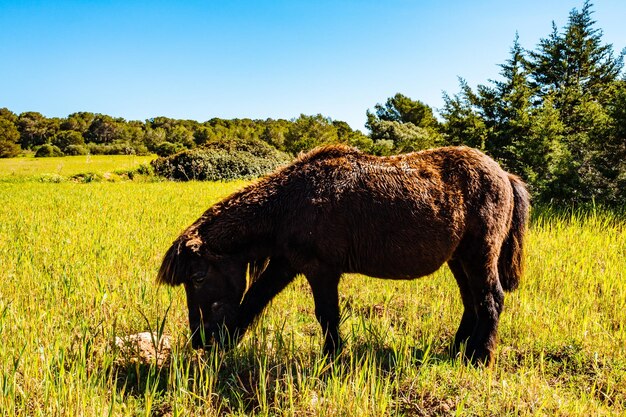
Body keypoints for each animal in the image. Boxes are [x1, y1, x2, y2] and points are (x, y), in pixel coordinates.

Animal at [155, 145, 528, 364]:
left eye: (197, 276)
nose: (201, 340)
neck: (289, 203)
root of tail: (504, 175)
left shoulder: (321, 270)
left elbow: (326, 316)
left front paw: (331, 358)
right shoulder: (286, 264)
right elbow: (254, 300)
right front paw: (229, 343)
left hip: (479, 255)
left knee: (491, 299)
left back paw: (480, 356)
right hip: (459, 260)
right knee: (472, 302)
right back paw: (458, 349)